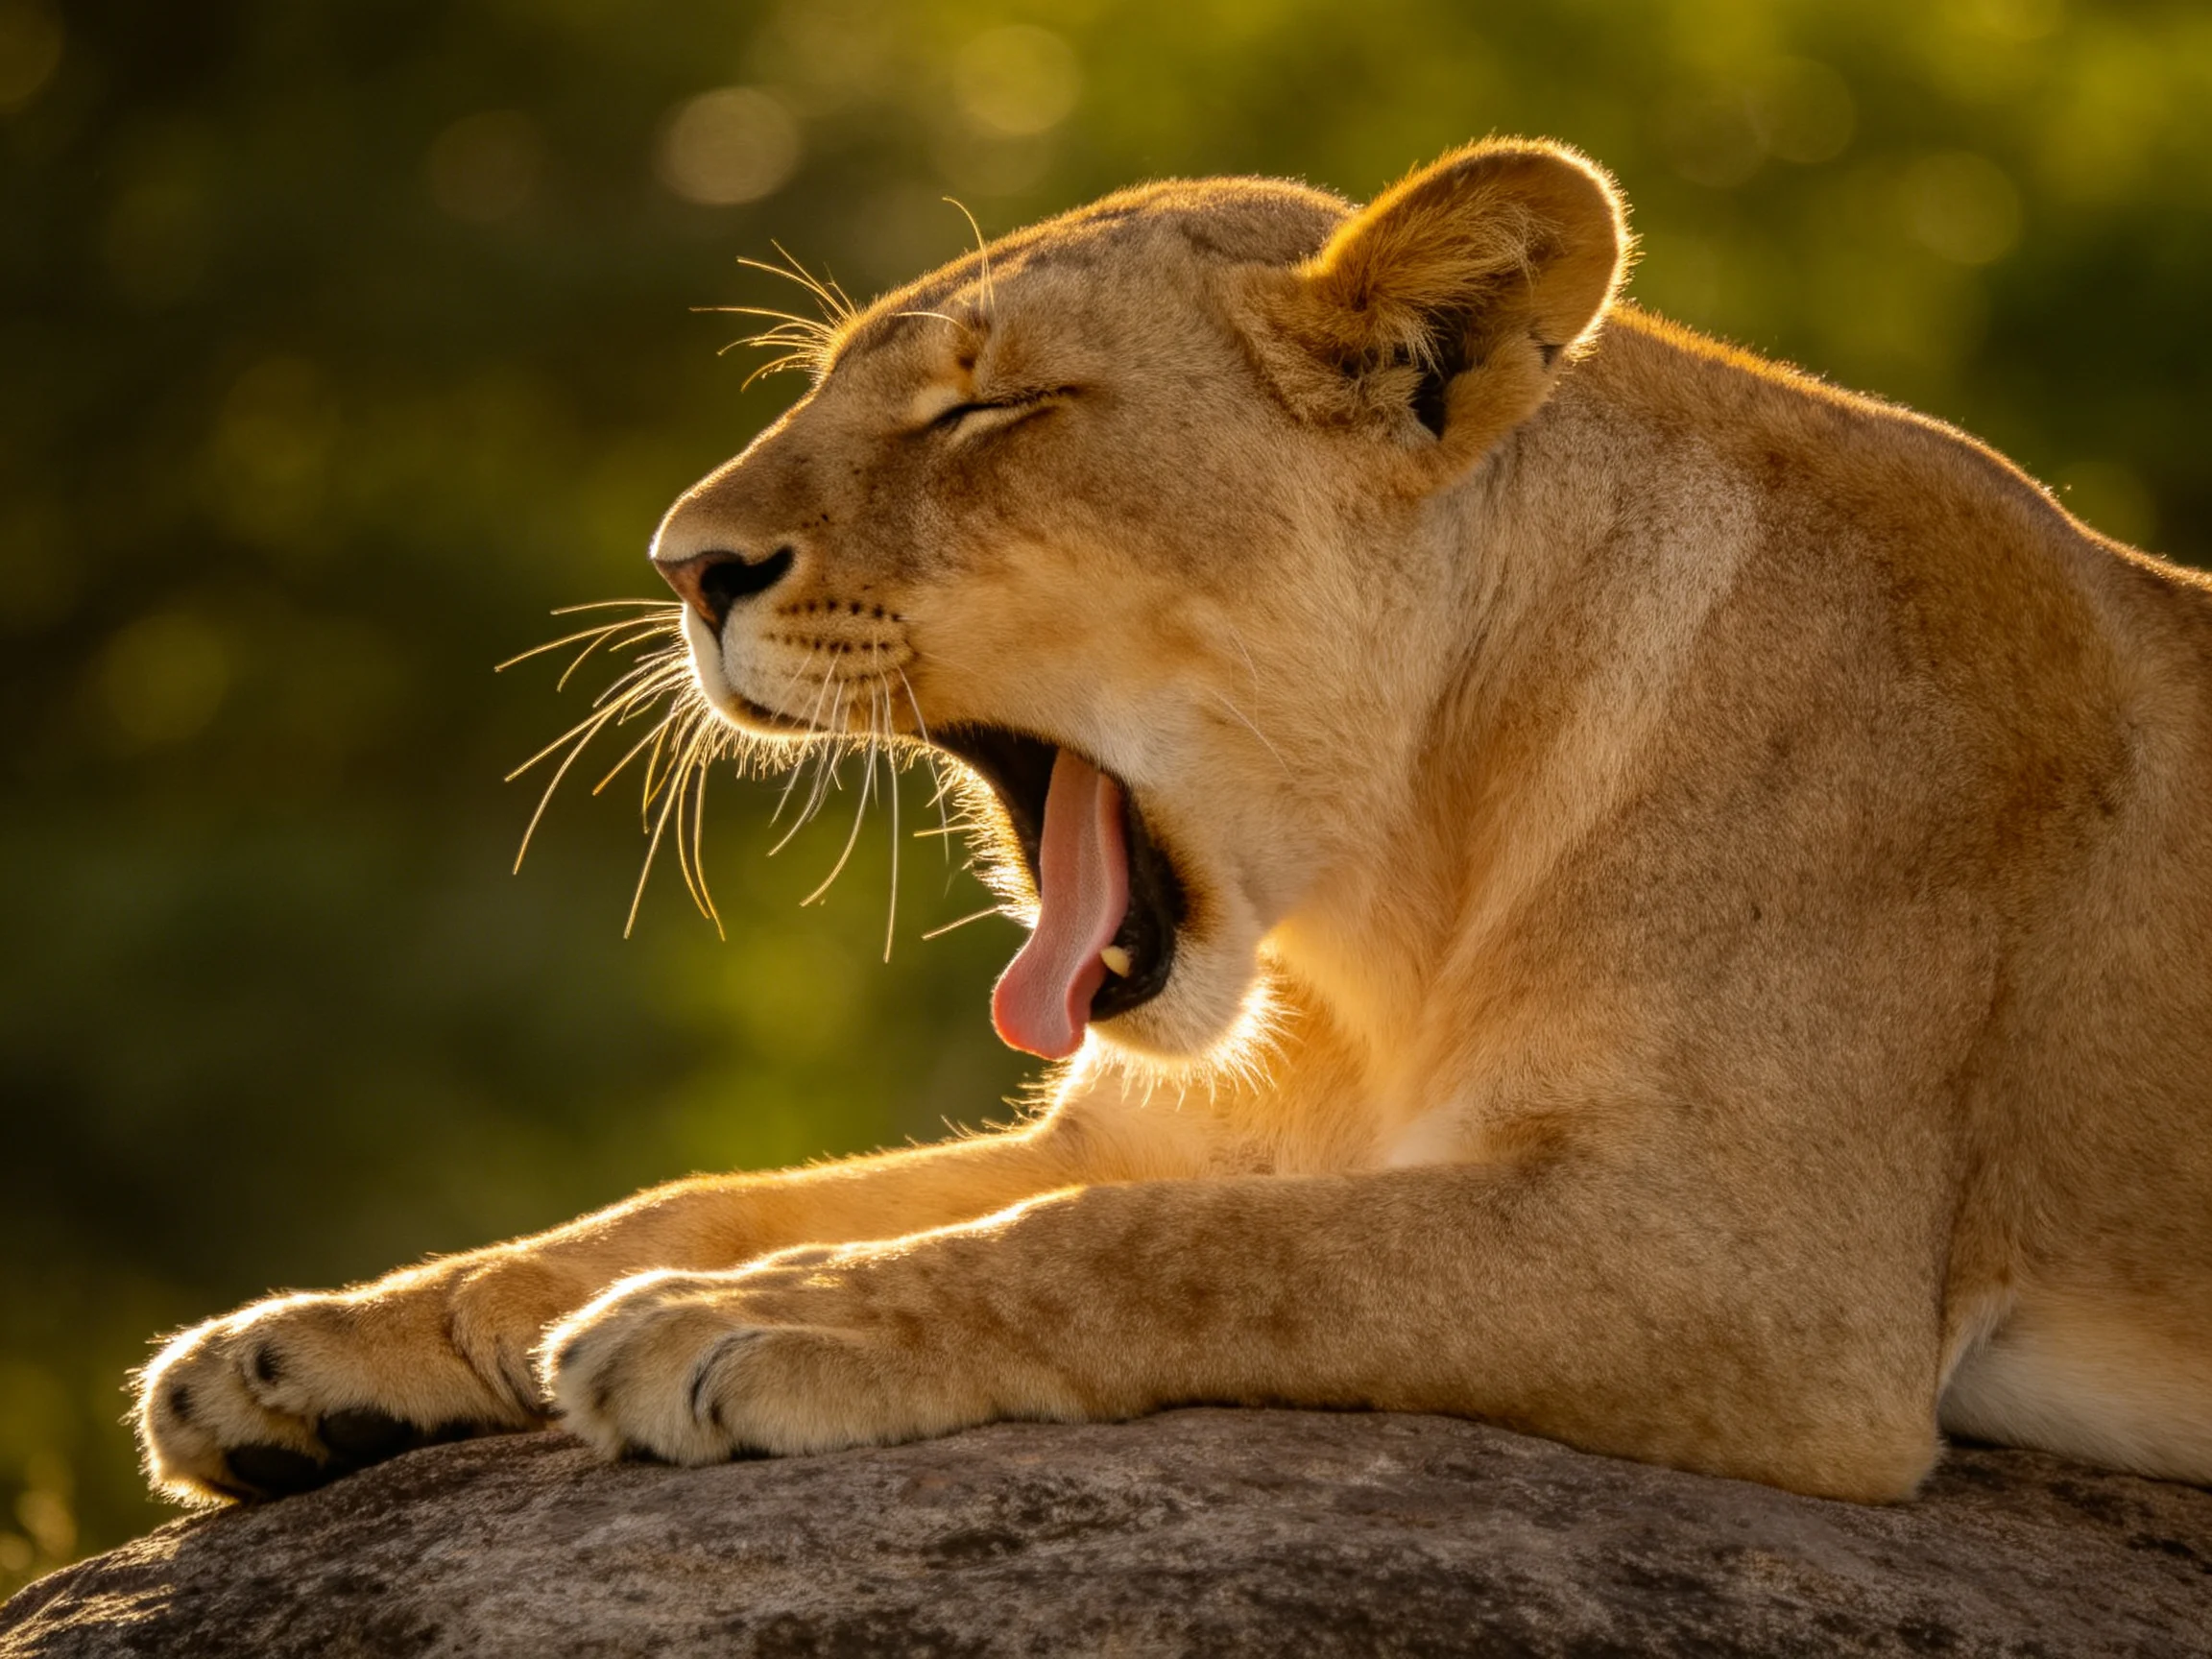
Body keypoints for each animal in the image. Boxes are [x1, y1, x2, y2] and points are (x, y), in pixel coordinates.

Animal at [136, 139, 2212, 1507]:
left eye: (988, 411)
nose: (681, 567)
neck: (1382, 925)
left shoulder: (1758, 1275)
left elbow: (1185, 1256)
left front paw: (759, 1320)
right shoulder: (1148, 1119)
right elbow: (701, 1197)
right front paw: (314, 1347)